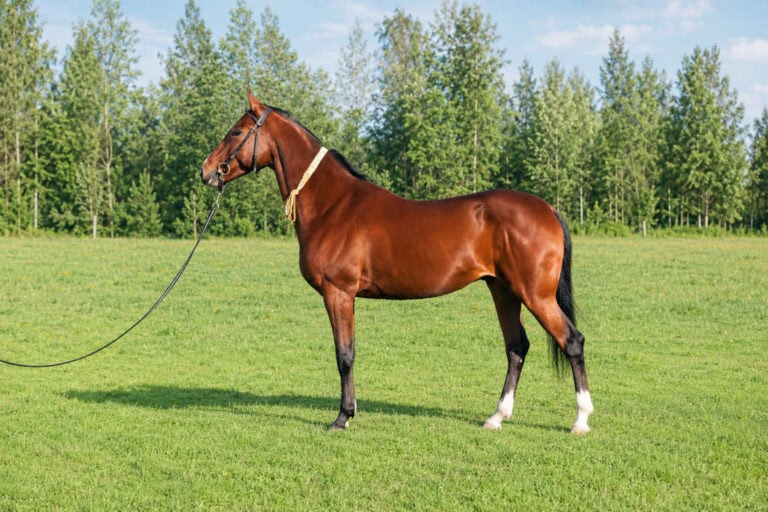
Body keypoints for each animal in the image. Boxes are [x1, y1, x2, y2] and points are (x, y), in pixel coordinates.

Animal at [201, 92, 593, 434]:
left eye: (235, 131)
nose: (206, 171)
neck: (333, 205)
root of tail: (548, 209)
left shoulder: (338, 293)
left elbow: (345, 355)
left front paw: (342, 417)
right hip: (504, 291)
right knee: (516, 348)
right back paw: (496, 417)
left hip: (534, 294)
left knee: (571, 341)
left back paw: (580, 420)